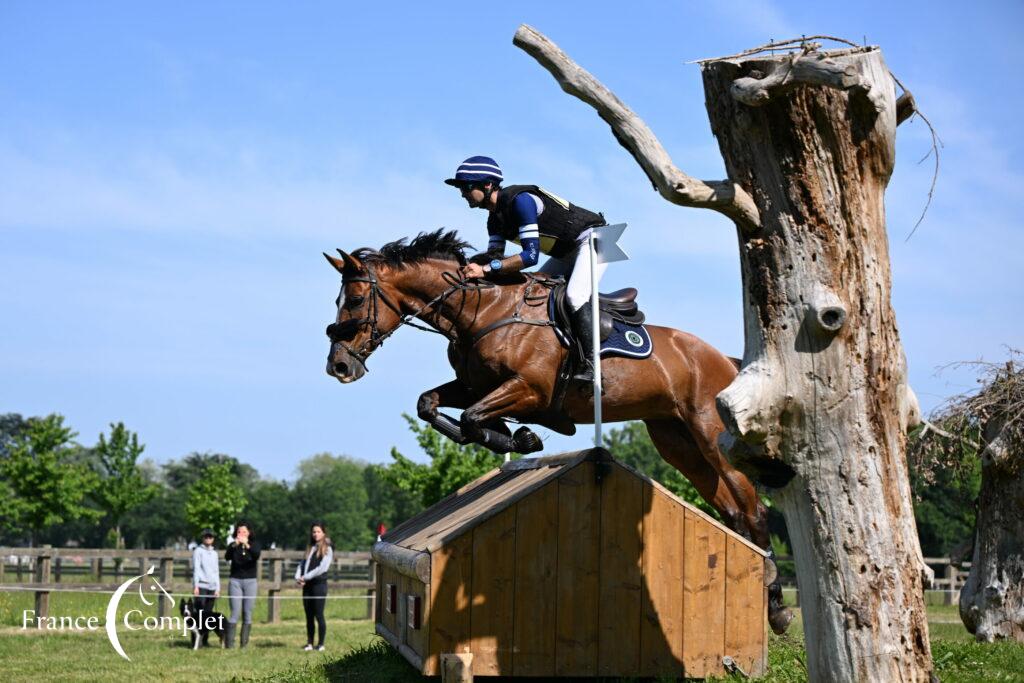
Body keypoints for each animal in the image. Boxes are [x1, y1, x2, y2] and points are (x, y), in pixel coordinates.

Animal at [323, 231, 794, 634]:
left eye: (356, 299)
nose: (339, 366)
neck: (482, 311)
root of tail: (727, 360)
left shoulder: (528, 389)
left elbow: (474, 418)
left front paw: (520, 438)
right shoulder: (474, 386)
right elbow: (432, 405)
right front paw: (511, 438)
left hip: (709, 434)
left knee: (753, 510)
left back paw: (776, 608)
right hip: (677, 442)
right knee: (732, 511)